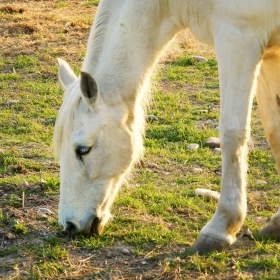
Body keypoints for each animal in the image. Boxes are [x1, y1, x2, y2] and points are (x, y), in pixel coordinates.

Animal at [53, 0, 280, 254]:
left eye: (83, 150)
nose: (70, 225)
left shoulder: (238, 41)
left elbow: (232, 135)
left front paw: (220, 228)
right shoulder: (270, 53)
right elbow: (275, 131)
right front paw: (277, 224)